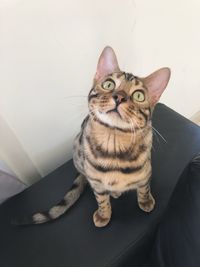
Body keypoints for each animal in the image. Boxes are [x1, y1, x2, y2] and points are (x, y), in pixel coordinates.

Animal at [14, 46, 170, 228]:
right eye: (108, 84)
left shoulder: (146, 172)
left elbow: (144, 188)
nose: (119, 97)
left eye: (139, 95)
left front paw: (145, 201)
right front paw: (103, 214)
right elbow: (101, 199)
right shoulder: (96, 183)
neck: (113, 143)